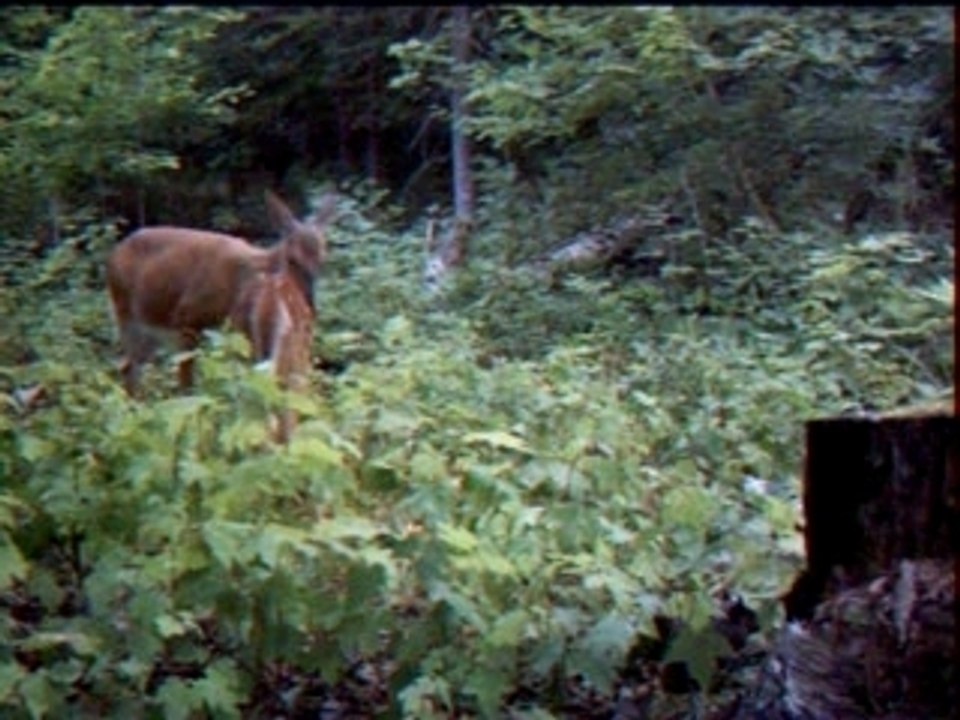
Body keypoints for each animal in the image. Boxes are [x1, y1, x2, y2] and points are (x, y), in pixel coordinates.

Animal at [106, 190, 337, 443]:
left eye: (323, 258)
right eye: (292, 259)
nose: (311, 305)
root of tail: (115, 253)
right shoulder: (187, 317)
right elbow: (188, 388)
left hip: (152, 332)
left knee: (128, 367)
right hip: (127, 315)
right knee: (130, 367)